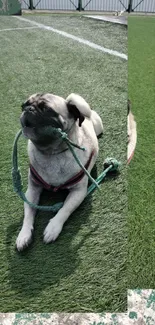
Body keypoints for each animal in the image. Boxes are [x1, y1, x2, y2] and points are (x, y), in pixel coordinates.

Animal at [15, 93, 103, 251]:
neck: (51, 153)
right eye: (23, 105)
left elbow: (64, 210)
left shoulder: (78, 192)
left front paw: (53, 228)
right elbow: (29, 213)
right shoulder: (32, 190)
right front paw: (23, 235)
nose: (28, 109)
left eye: (47, 109)